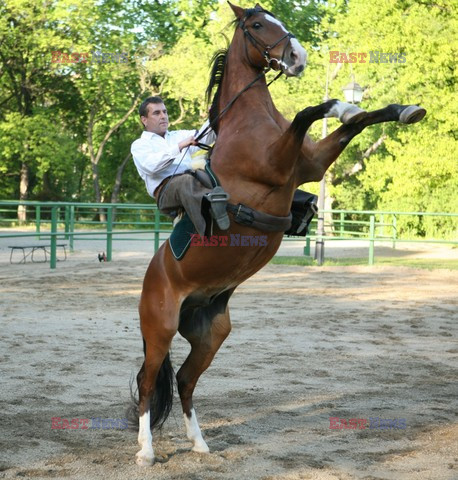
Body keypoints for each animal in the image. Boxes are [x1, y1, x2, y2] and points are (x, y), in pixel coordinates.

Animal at [135, 2, 426, 464]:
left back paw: (200, 444)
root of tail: (151, 280)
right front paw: (345, 106)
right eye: (257, 24)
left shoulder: (311, 165)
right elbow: (310, 112)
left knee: (183, 380)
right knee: (149, 383)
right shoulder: (278, 162)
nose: (298, 57)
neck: (249, 120)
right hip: (160, 330)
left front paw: (399, 109)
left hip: (210, 335)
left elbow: (358, 120)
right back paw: (145, 452)